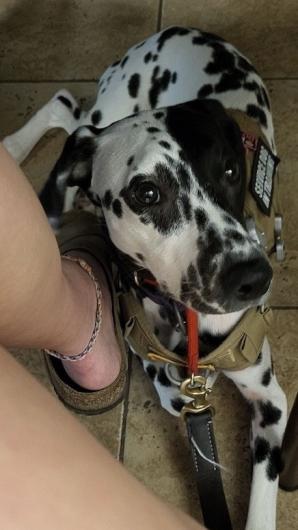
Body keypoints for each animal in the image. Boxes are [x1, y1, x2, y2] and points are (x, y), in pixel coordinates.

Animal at [2, 26, 286, 528]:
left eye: (232, 170)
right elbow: (164, 379)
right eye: (148, 193)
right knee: (65, 112)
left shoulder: (271, 398)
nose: (252, 276)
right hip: (100, 117)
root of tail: (173, 32)